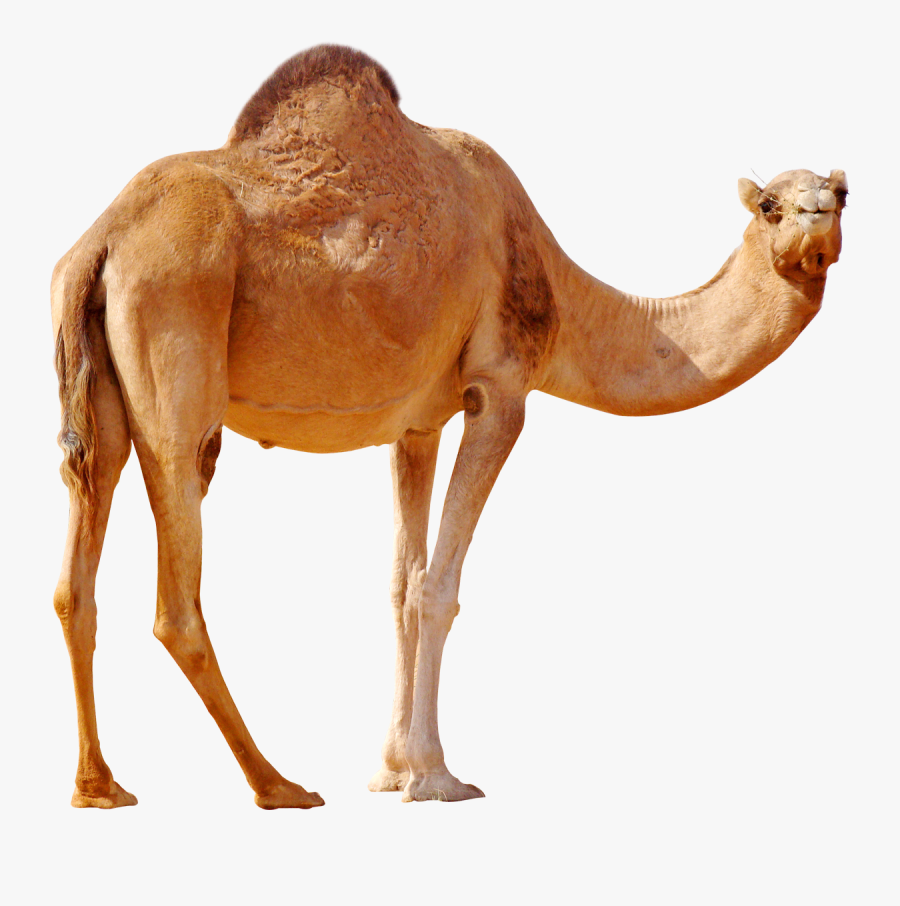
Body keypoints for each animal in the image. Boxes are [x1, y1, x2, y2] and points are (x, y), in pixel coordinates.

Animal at [51, 45, 847, 809]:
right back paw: (279, 787)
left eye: (842, 194)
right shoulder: (499, 390)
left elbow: (402, 584)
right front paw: (435, 778)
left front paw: (390, 771)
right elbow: (439, 586)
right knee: (176, 594)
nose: (816, 219)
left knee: (76, 573)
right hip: (177, 347)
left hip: (100, 396)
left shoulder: (417, 426)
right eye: (770, 204)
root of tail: (100, 242)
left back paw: (100, 788)